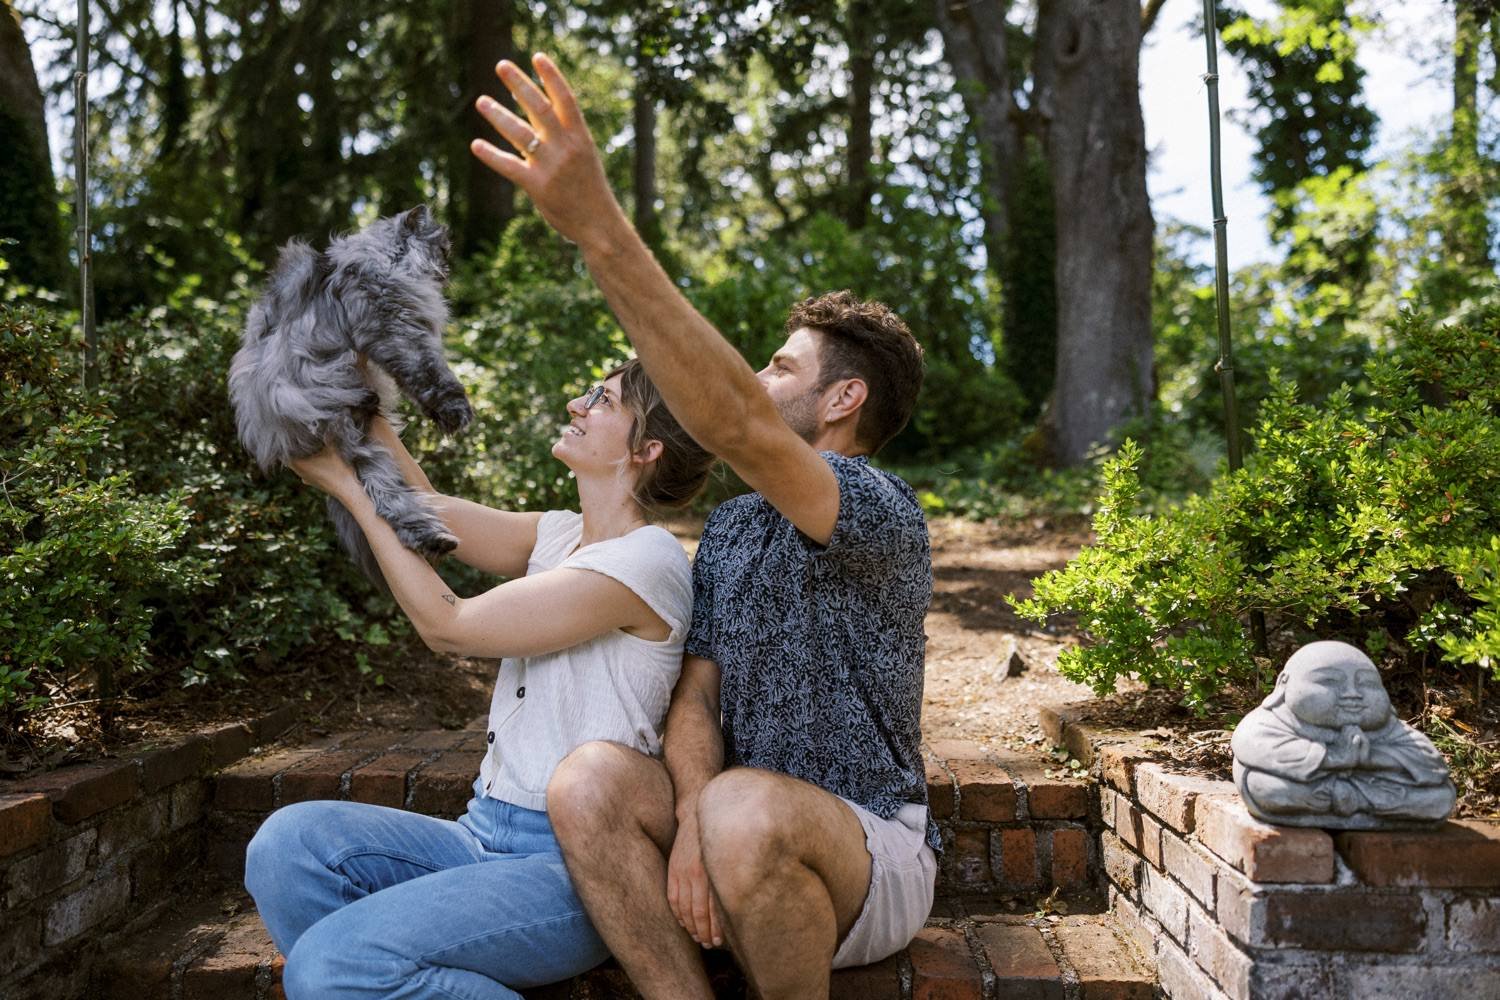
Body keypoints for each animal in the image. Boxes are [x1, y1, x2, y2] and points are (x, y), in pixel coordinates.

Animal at [228, 206, 471, 590]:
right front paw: (455, 412)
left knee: (387, 500)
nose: (447, 272)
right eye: (443, 250)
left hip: (362, 448)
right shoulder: (395, 328)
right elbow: (429, 374)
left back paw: (435, 540)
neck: (382, 259)